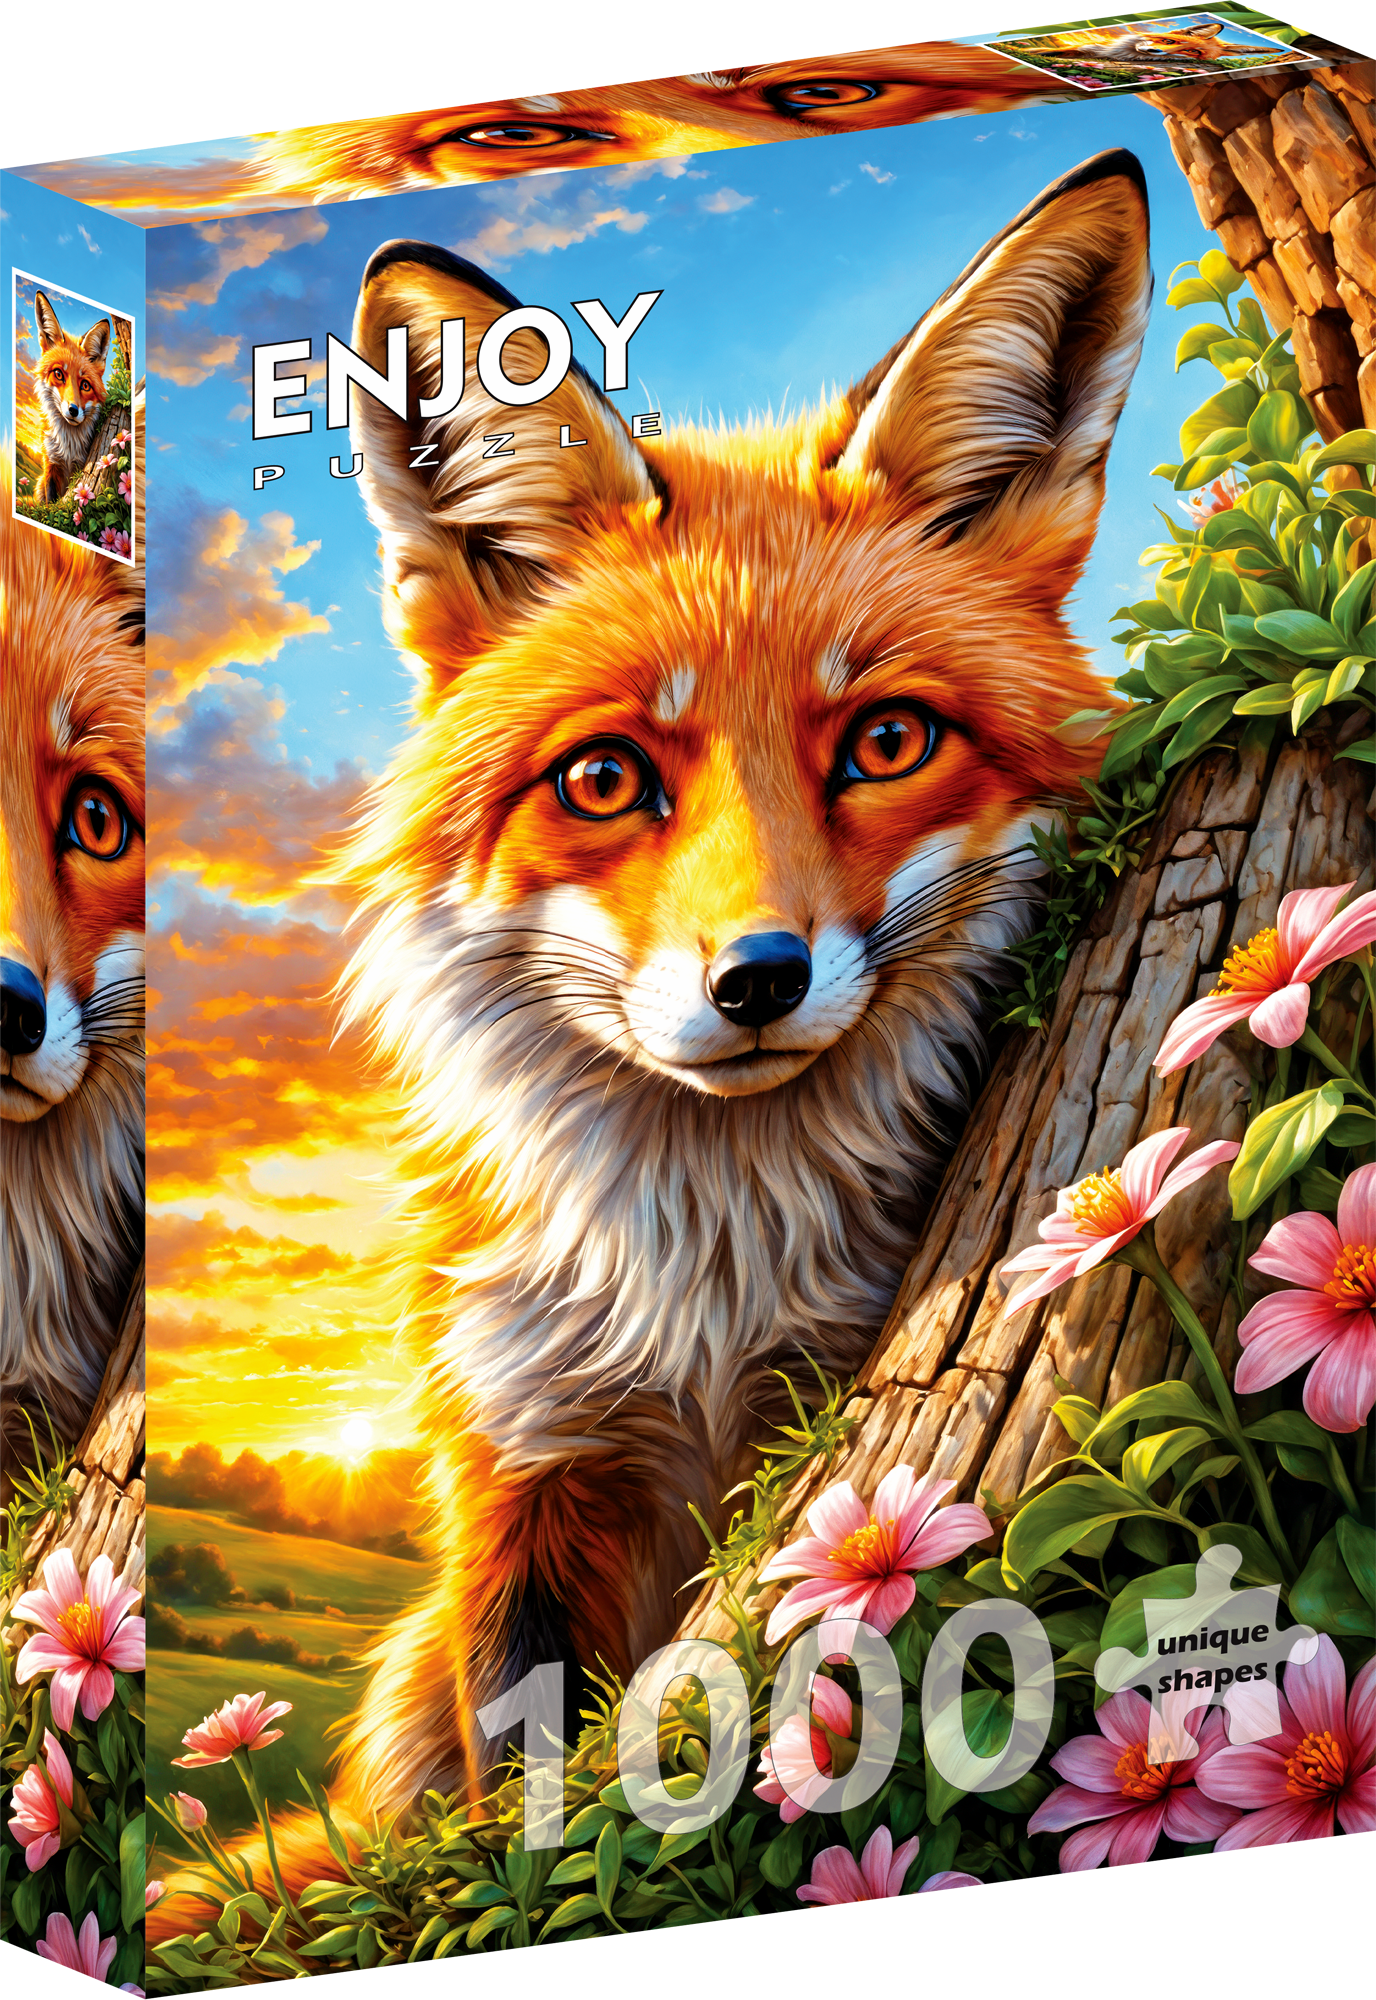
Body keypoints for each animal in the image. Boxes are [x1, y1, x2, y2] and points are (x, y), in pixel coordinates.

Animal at [30, 292, 110, 507]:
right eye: (58, 374)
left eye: (85, 385)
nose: (73, 410)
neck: (68, 447)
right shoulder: (51, 465)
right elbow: (50, 503)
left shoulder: (80, 466)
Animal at [150, 148, 1149, 1931]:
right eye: (606, 778)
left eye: (886, 742)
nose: (755, 980)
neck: (708, 1287)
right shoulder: (524, 1475)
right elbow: (525, 1814)